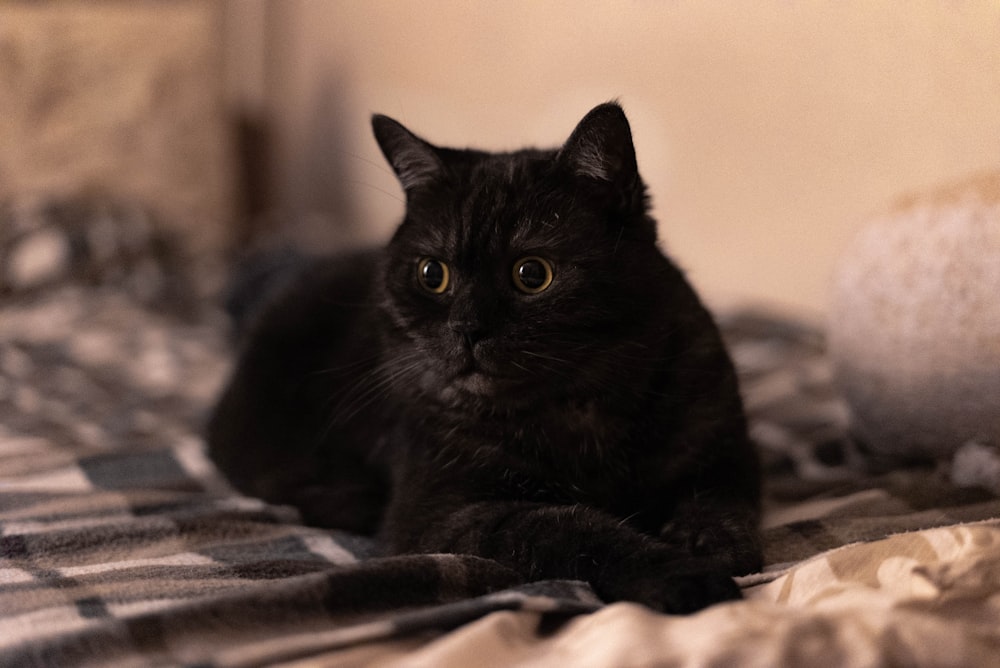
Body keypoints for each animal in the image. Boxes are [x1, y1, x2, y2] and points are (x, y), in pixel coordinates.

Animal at [207, 102, 760, 612]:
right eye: (433, 274)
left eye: (532, 274)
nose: (467, 329)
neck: (582, 409)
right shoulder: (446, 514)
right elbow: (573, 530)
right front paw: (682, 575)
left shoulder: (722, 447)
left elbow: (720, 501)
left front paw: (708, 543)